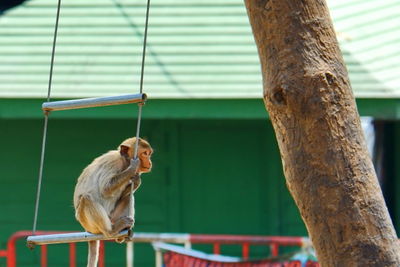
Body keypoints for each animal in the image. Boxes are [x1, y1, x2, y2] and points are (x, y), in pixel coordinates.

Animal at [72, 138, 152, 267]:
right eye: (145, 153)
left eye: (149, 154)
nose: (149, 162)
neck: (124, 162)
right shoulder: (114, 163)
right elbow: (106, 188)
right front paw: (132, 170)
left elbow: (125, 192)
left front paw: (136, 181)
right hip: (90, 224)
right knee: (86, 198)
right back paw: (111, 231)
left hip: (113, 217)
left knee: (128, 196)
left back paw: (122, 233)